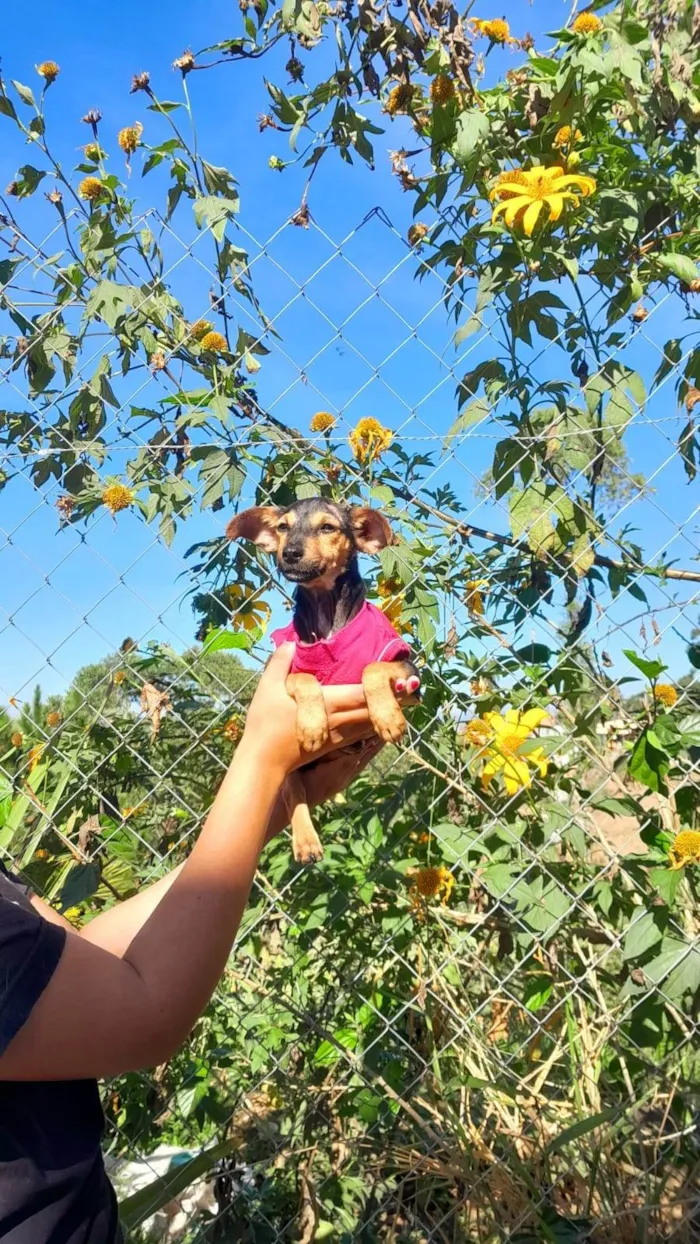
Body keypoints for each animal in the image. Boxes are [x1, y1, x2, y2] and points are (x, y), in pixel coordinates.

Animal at [227, 500, 420, 860]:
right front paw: (313, 726)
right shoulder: (282, 670)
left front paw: (387, 719)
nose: (289, 552)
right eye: (283, 527)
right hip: (288, 768)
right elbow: (306, 679)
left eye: (328, 527)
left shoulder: (409, 673)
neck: (327, 617)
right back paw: (306, 841)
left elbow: (372, 669)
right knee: (292, 791)